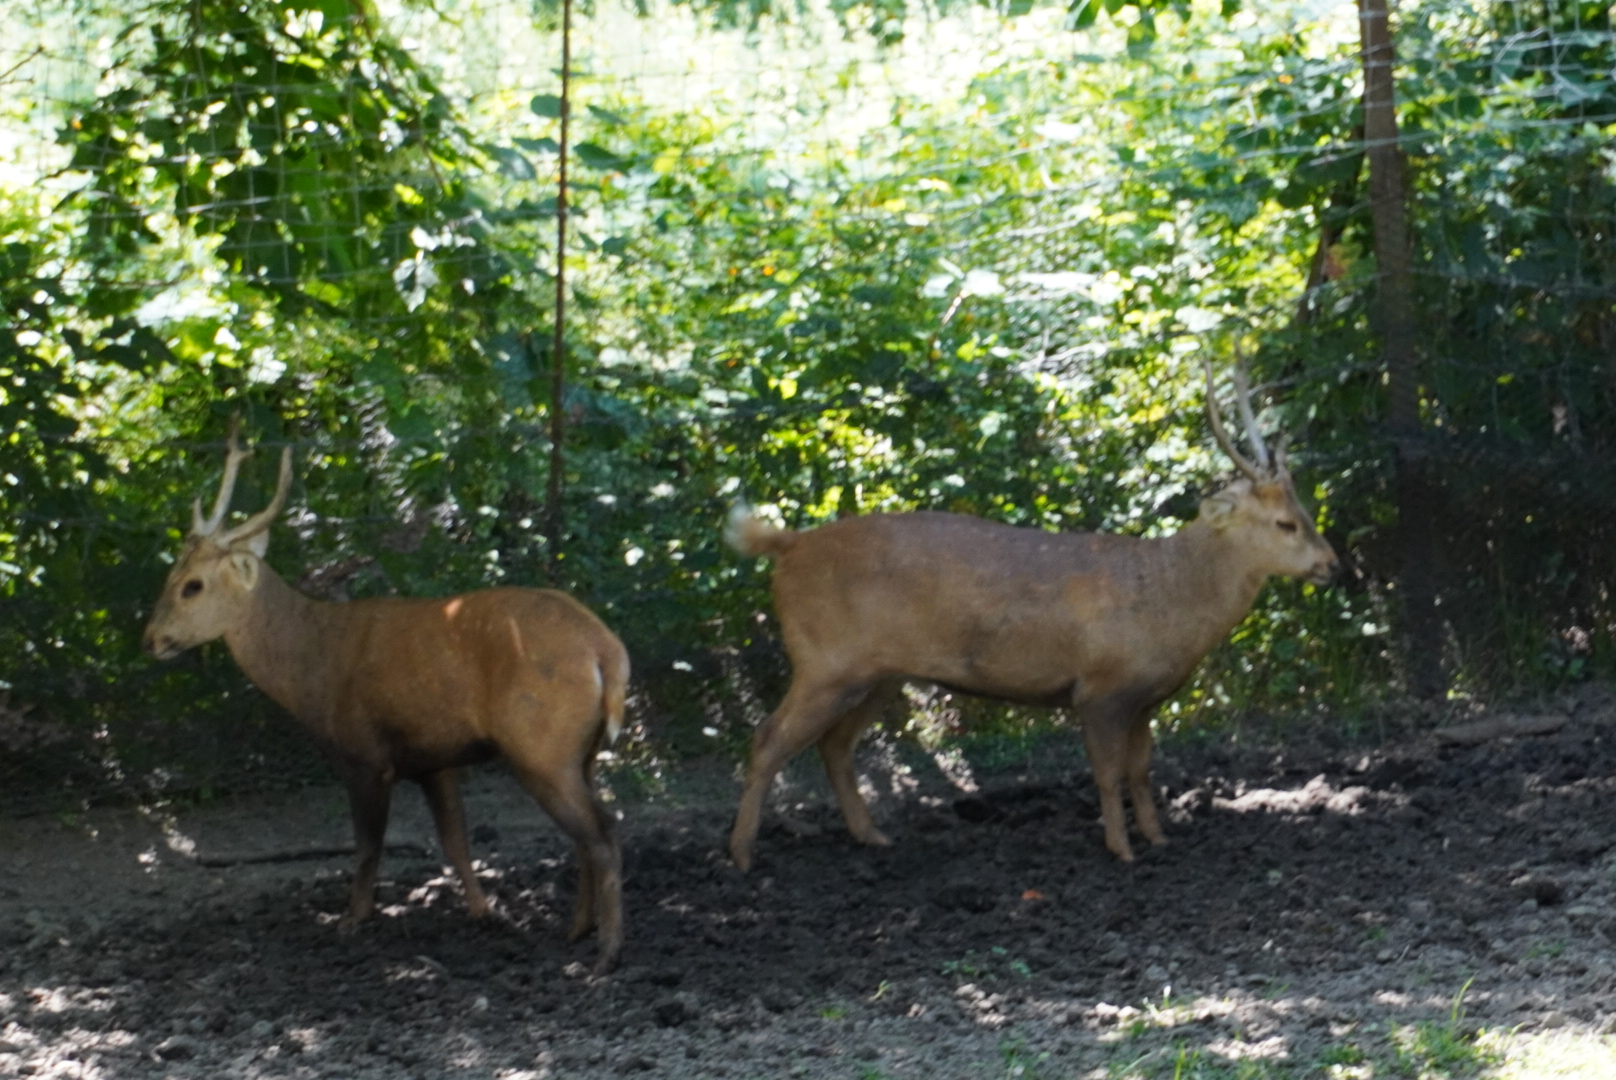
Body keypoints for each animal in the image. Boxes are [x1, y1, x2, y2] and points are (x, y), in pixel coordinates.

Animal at [142, 429, 631, 973]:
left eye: (192, 585)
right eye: (171, 576)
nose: (150, 639)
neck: (313, 669)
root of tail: (608, 654)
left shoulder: (364, 754)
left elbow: (367, 847)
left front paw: (351, 920)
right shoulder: (434, 758)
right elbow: (456, 841)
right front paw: (484, 912)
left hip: (541, 745)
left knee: (604, 832)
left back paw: (606, 953)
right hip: (581, 752)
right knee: (589, 833)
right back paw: (577, 930)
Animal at [724, 358, 1340, 872]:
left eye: (1307, 511)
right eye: (1285, 523)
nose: (1331, 565)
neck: (1170, 601)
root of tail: (787, 546)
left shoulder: (1145, 697)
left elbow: (1142, 770)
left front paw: (1158, 837)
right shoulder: (1100, 688)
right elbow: (1108, 772)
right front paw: (1121, 849)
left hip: (879, 672)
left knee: (834, 745)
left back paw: (871, 836)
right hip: (824, 659)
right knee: (768, 738)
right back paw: (743, 856)